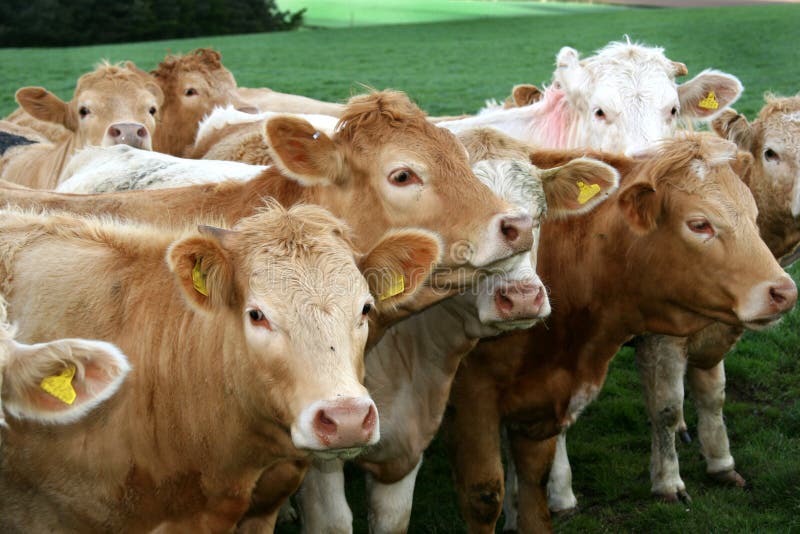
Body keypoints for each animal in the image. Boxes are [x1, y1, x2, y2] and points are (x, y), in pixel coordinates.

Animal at [442, 133, 797, 533]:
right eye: (700, 224)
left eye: (753, 216)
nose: (784, 292)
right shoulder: (471, 397)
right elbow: (485, 490)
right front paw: (668, 483)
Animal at [632, 94, 800, 504]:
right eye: (771, 152)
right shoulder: (659, 339)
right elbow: (665, 406)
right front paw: (668, 481)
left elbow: (713, 397)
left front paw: (721, 463)